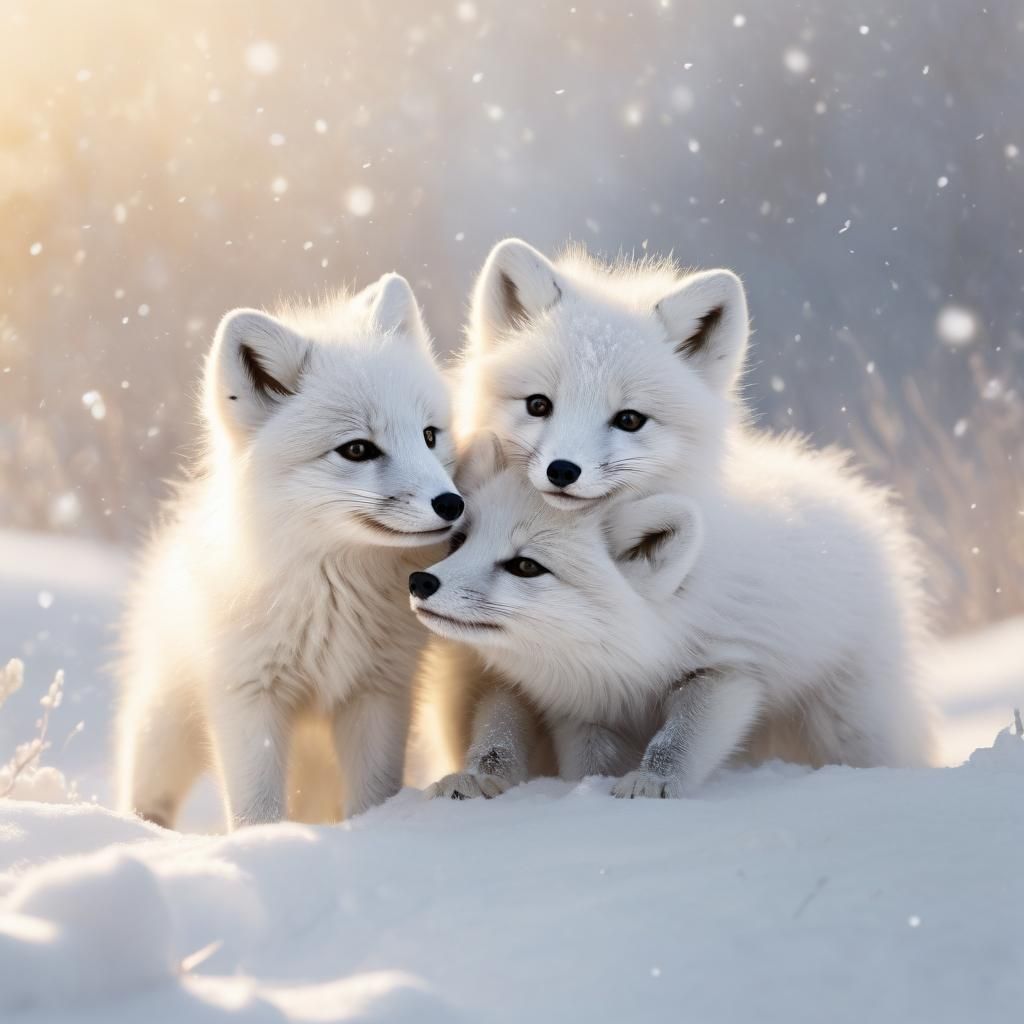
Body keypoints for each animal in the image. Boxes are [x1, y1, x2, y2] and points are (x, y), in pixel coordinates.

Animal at [116, 273, 464, 830]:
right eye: (358, 449)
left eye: (430, 435)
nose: (452, 504)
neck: (333, 595)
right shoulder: (249, 697)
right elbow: (256, 809)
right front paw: (263, 844)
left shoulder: (378, 693)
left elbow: (373, 794)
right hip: (165, 727)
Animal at [411, 458, 934, 800]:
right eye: (460, 541)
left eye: (525, 566)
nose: (420, 582)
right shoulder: (583, 709)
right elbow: (584, 766)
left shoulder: (727, 673)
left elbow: (674, 742)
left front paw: (652, 784)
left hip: (847, 725)